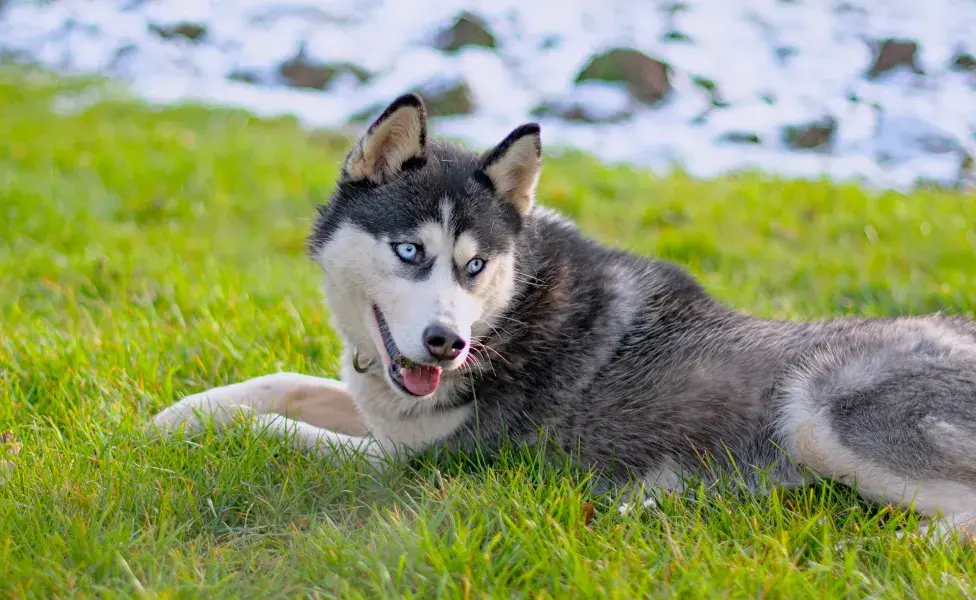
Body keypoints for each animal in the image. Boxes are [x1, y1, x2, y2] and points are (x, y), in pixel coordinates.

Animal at [152, 95, 976, 540]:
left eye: (475, 266)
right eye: (410, 251)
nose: (446, 345)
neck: (507, 316)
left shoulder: (420, 463)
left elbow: (282, 429)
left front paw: (211, 430)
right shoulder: (387, 408)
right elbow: (282, 382)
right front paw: (181, 412)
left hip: (817, 412)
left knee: (951, 518)